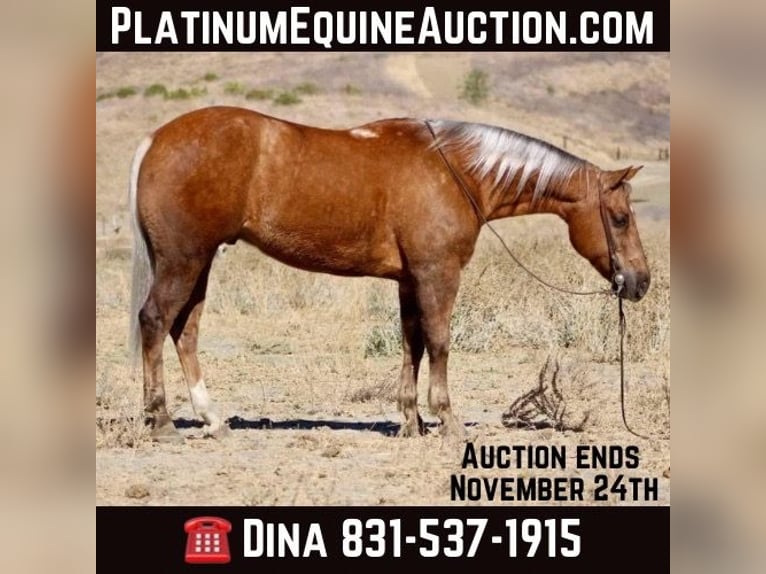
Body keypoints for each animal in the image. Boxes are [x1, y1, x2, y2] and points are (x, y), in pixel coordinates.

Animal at [128, 106, 650, 442]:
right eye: (621, 218)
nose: (639, 282)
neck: (457, 172)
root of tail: (154, 139)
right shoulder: (438, 274)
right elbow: (439, 342)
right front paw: (447, 422)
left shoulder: (409, 280)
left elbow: (411, 345)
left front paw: (410, 422)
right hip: (184, 260)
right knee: (155, 321)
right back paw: (161, 421)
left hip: (198, 262)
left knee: (184, 330)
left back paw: (212, 419)